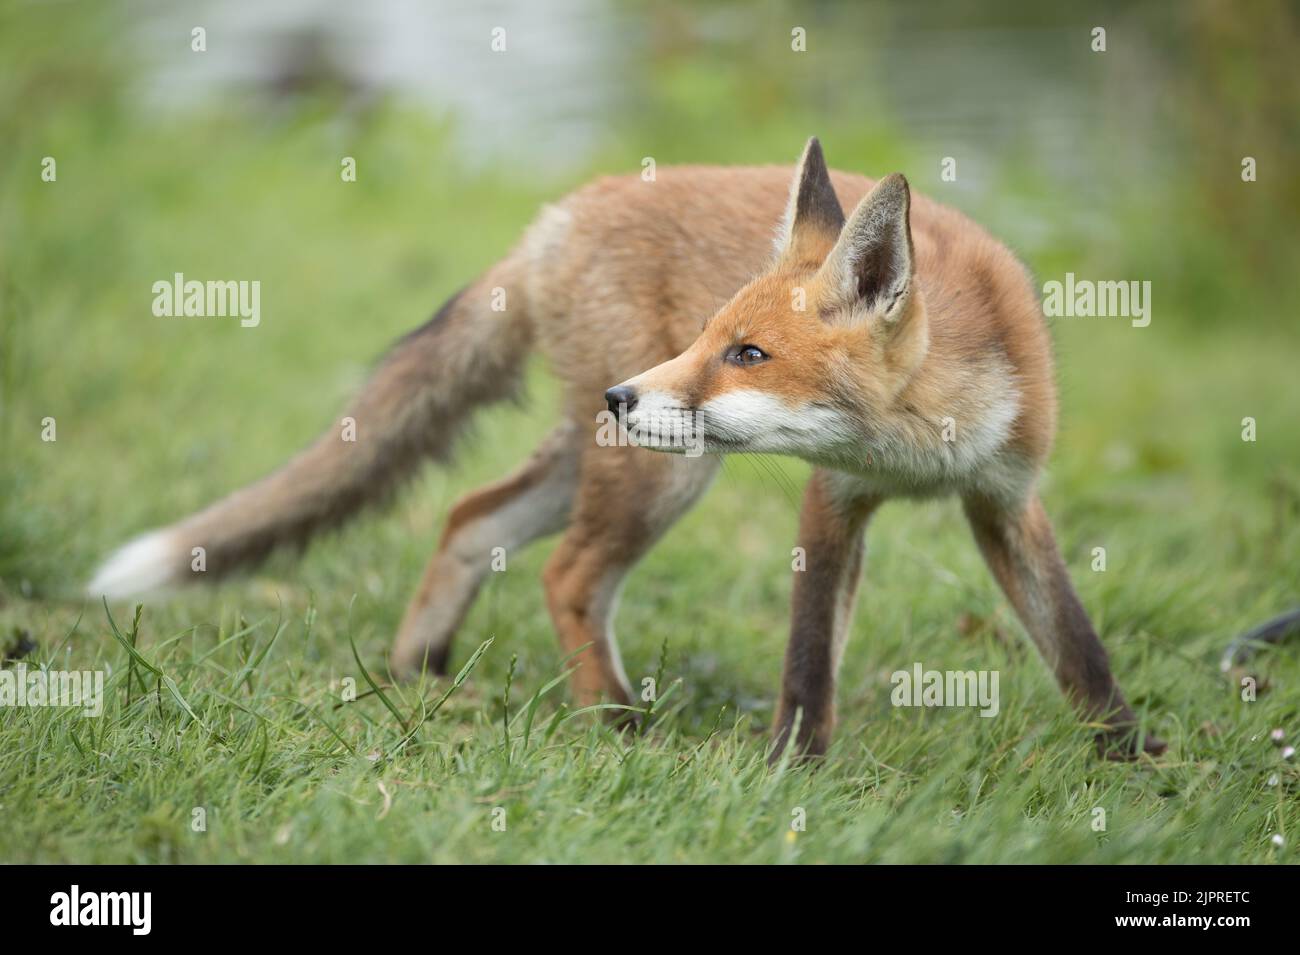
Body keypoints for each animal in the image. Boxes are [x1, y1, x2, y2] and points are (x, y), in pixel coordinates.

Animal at [88, 137, 1166, 761]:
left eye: (747, 353)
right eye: (710, 338)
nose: (626, 388)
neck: (916, 451)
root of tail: (555, 217)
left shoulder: (1005, 498)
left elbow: (1077, 646)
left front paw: (1128, 759)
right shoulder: (831, 498)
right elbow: (808, 663)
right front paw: (793, 773)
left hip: (607, 455)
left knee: (468, 516)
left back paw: (417, 673)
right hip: (658, 470)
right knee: (565, 574)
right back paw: (612, 726)